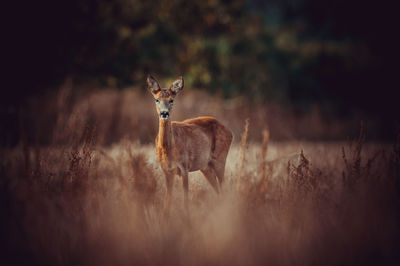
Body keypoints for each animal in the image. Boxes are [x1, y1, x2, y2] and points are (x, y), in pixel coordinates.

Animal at [147, 75, 233, 212]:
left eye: (171, 100)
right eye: (157, 99)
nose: (164, 113)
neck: (169, 149)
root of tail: (230, 132)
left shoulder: (184, 166)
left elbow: (185, 201)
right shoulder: (167, 170)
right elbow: (167, 202)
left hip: (220, 159)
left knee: (224, 190)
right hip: (205, 167)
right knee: (218, 191)